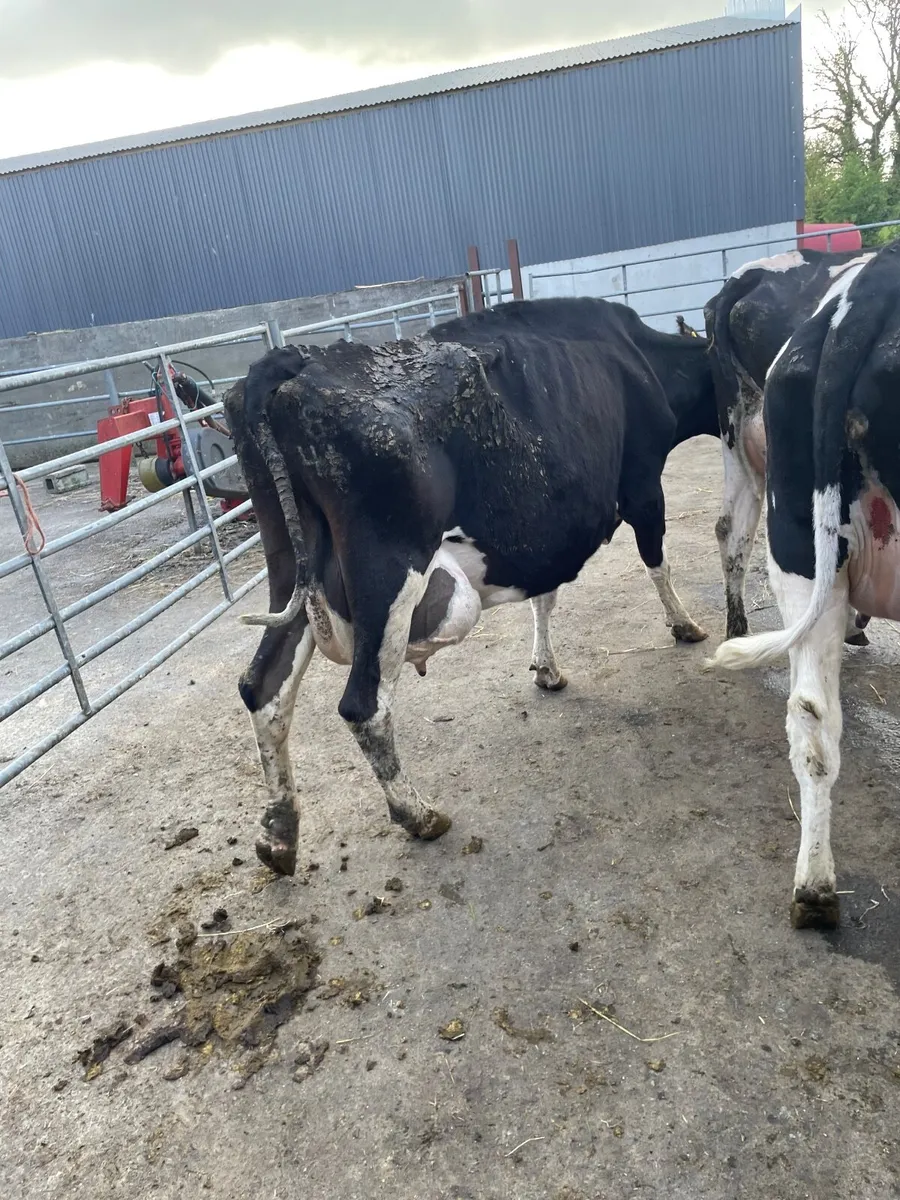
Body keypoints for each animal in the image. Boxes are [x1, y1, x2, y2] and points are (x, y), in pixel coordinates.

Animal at [225, 298, 719, 874]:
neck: (642, 358)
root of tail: (293, 360)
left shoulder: (545, 537)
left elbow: (545, 597)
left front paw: (546, 670)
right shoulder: (643, 485)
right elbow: (657, 562)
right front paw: (685, 626)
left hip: (290, 567)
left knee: (263, 687)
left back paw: (280, 835)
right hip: (389, 569)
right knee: (364, 705)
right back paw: (419, 815)